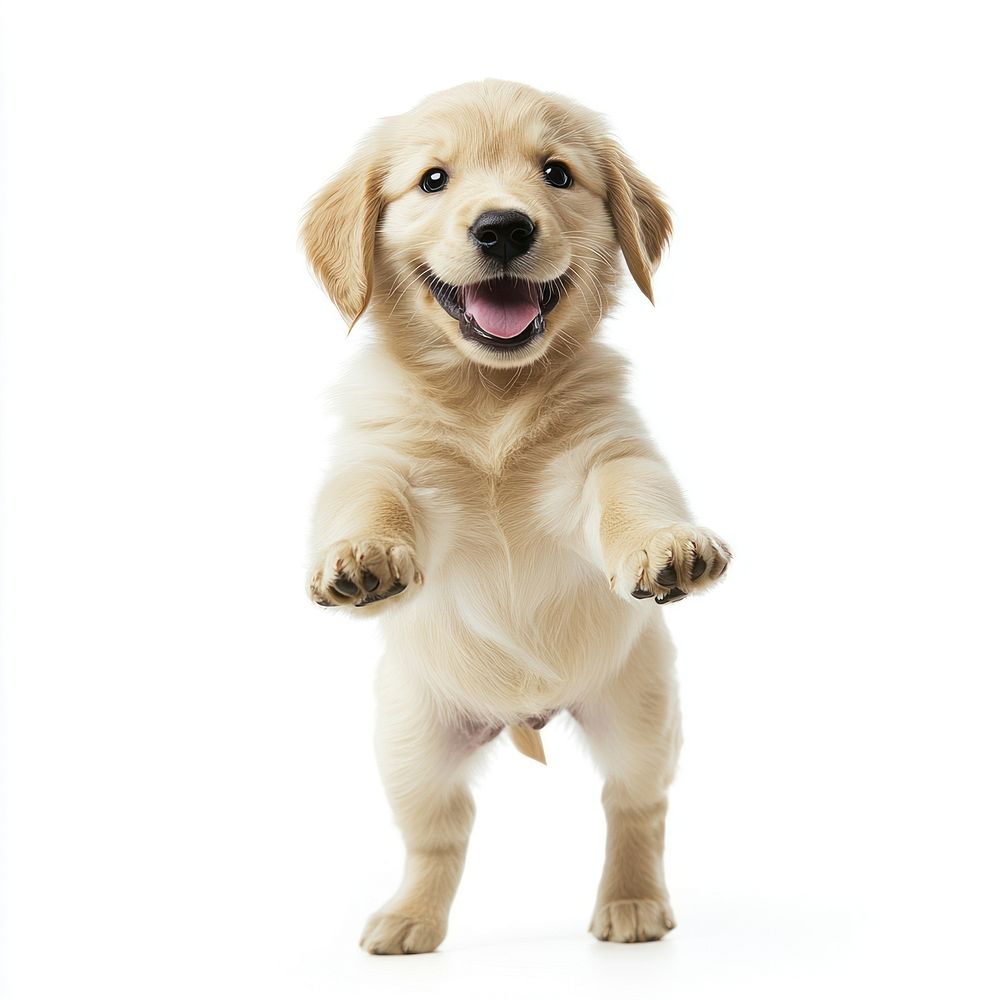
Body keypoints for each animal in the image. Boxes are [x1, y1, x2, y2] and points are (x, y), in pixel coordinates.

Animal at [300, 78, 732, 952]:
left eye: (556, 173)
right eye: (433, 180)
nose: (503, 227)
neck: (489, 394)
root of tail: (522, 712)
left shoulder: (604, 455)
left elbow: (633, 494)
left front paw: (667, 544)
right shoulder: (381, 455)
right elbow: (366, 496)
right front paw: (362, 557)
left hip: (641, 708)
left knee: (635, 806)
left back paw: (632, 903)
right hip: (411, 741)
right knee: (439, 835)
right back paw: (408, 919)